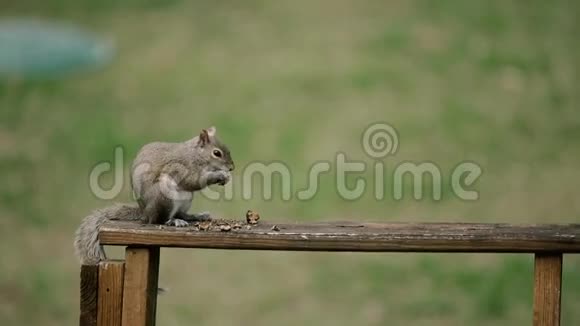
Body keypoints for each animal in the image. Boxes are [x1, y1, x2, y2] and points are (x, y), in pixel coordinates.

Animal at [74, 126, 233, 266]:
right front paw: (219, 175)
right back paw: (173, 221)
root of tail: (145, 212)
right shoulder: (179, 167)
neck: (194, 155)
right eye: (217, 153)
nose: (232, 167)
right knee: (159, 220)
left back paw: (196, 216)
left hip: (186, 199)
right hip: (164, 197)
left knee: (181, 213)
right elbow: (193, 181)